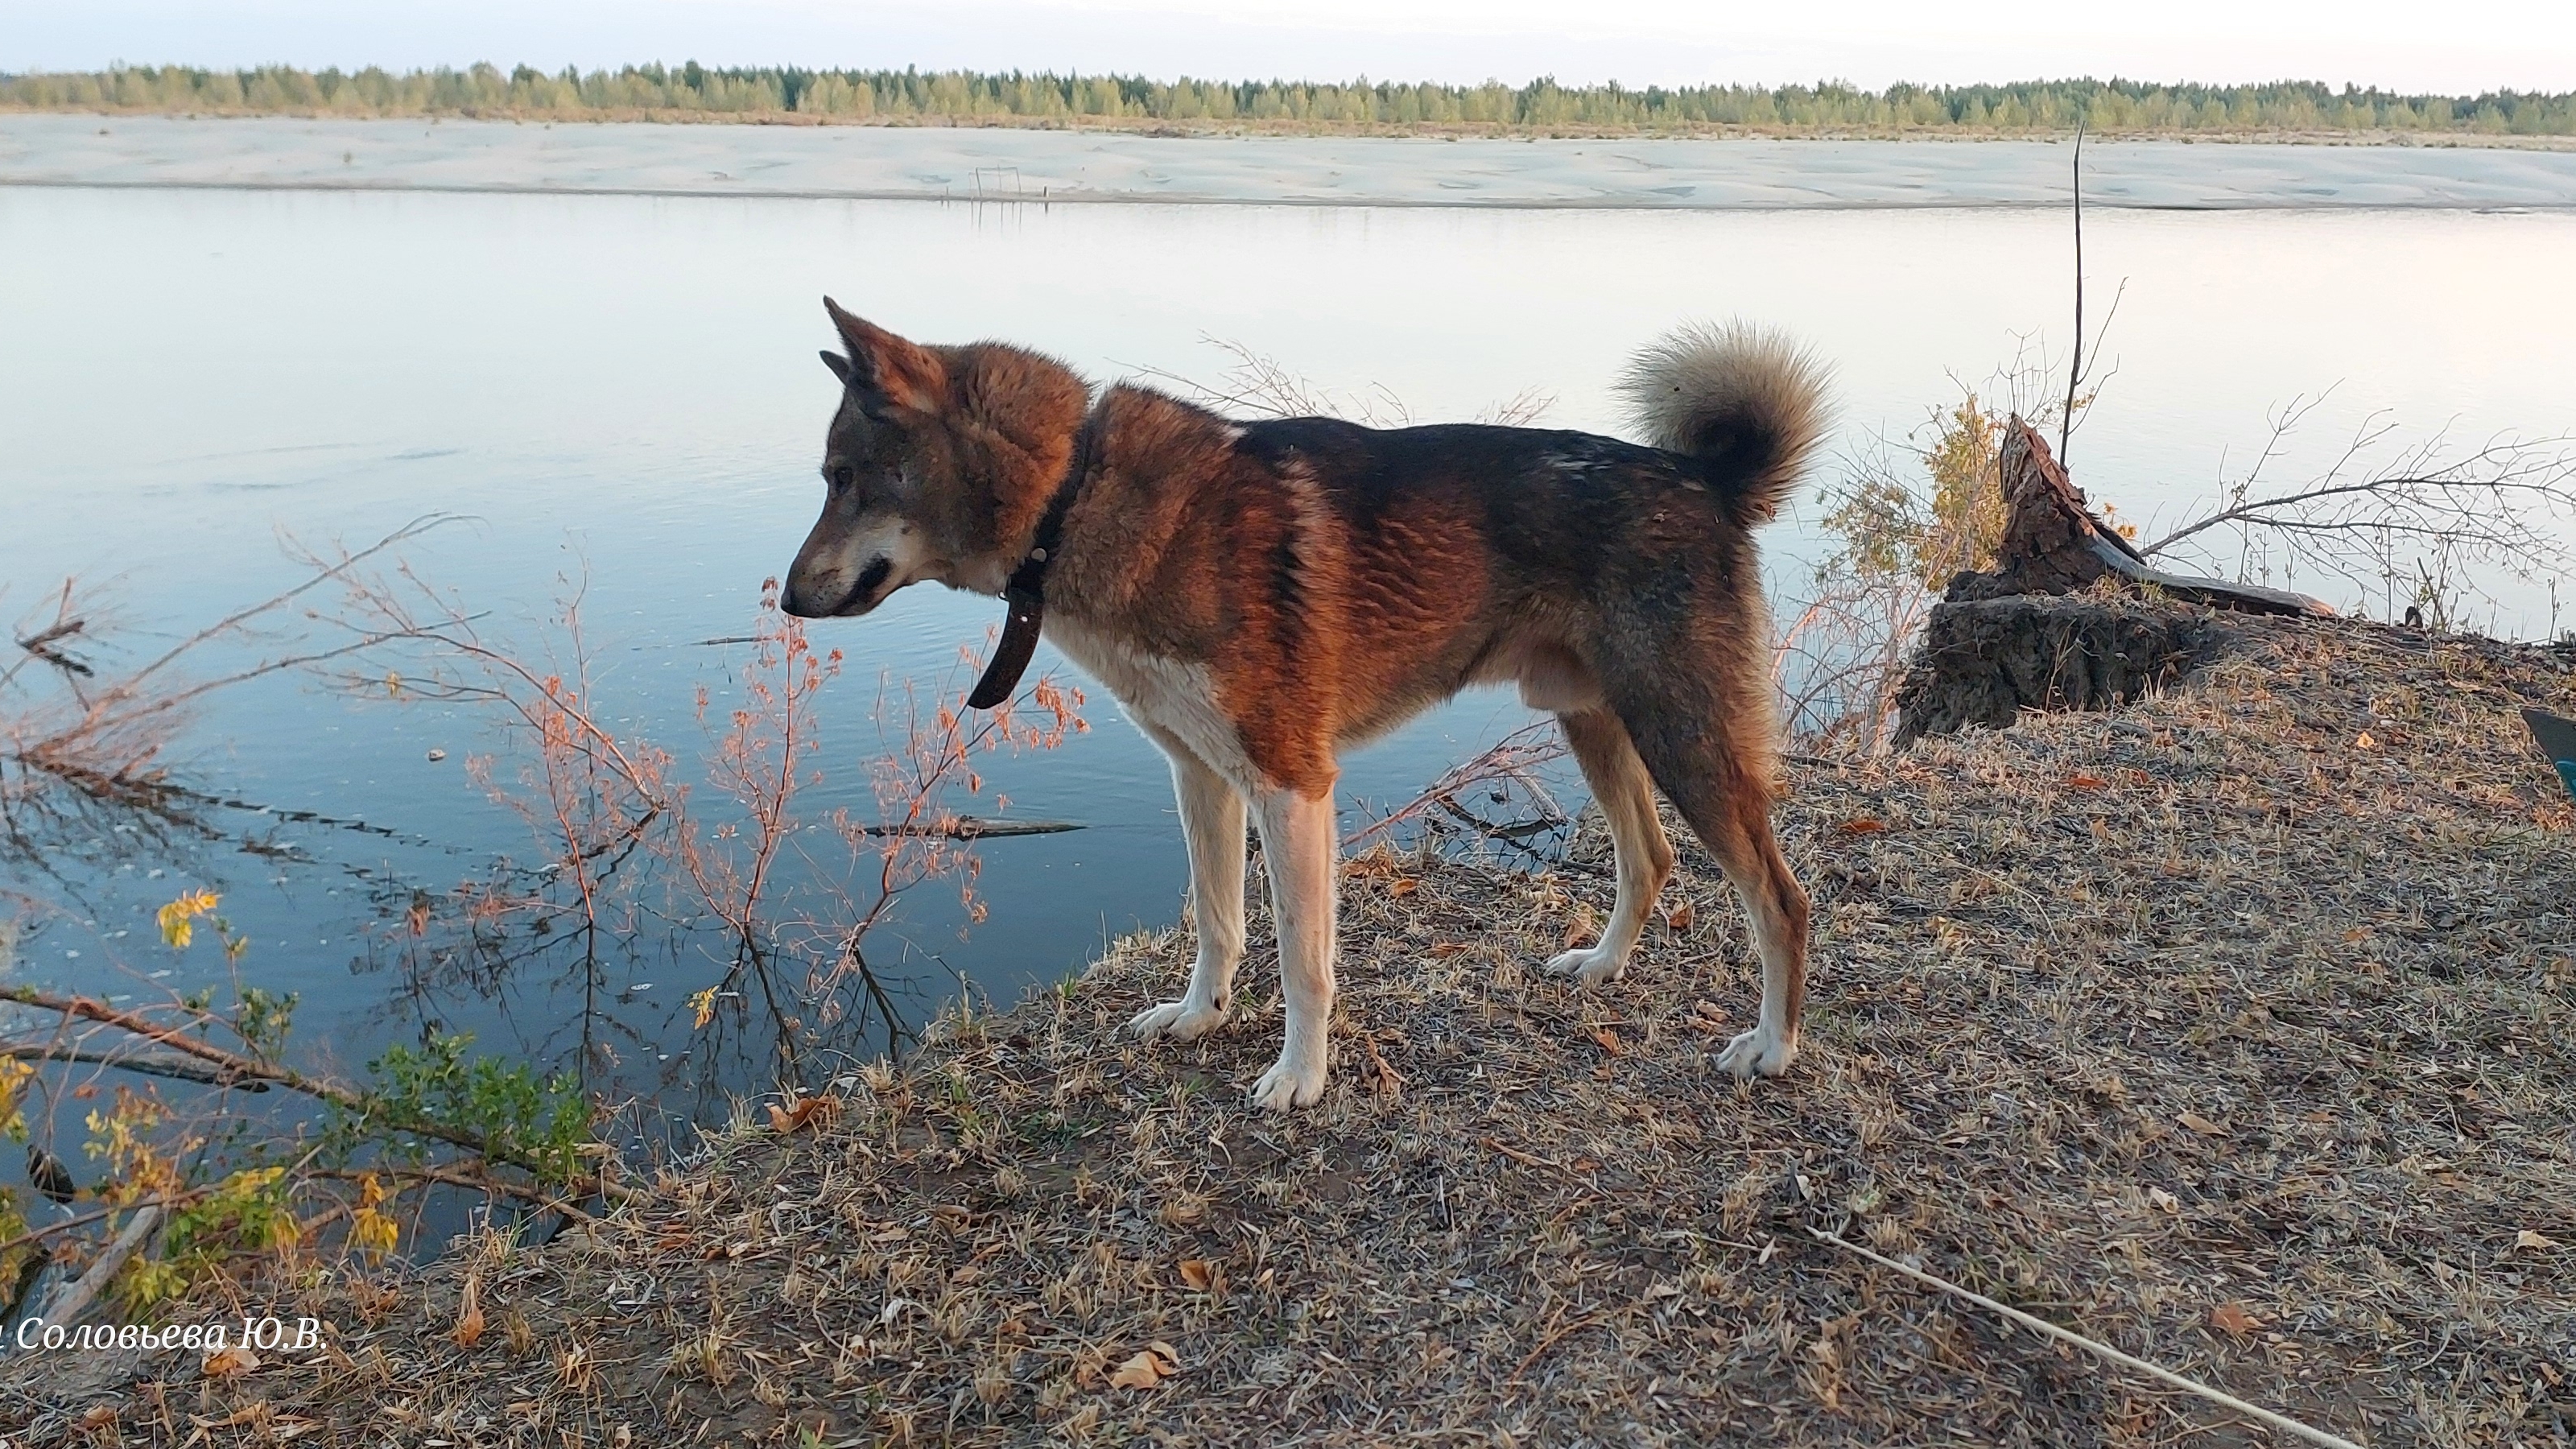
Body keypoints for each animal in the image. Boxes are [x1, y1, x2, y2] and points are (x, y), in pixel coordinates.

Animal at [782, 294, 1834, 1103]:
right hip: (1596, 725)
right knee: (1648, 860)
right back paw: (1605, 964)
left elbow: (1300, 958)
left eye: (846, 478)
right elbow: (1216, 923)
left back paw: (1772, 1048)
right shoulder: (1202, 778)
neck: (1073, 495)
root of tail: (1703, 479)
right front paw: (1199, 1017)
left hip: (1683, 739)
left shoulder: (1290, 786)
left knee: (1779, 901)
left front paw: (1300, 1077)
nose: (787, 599)